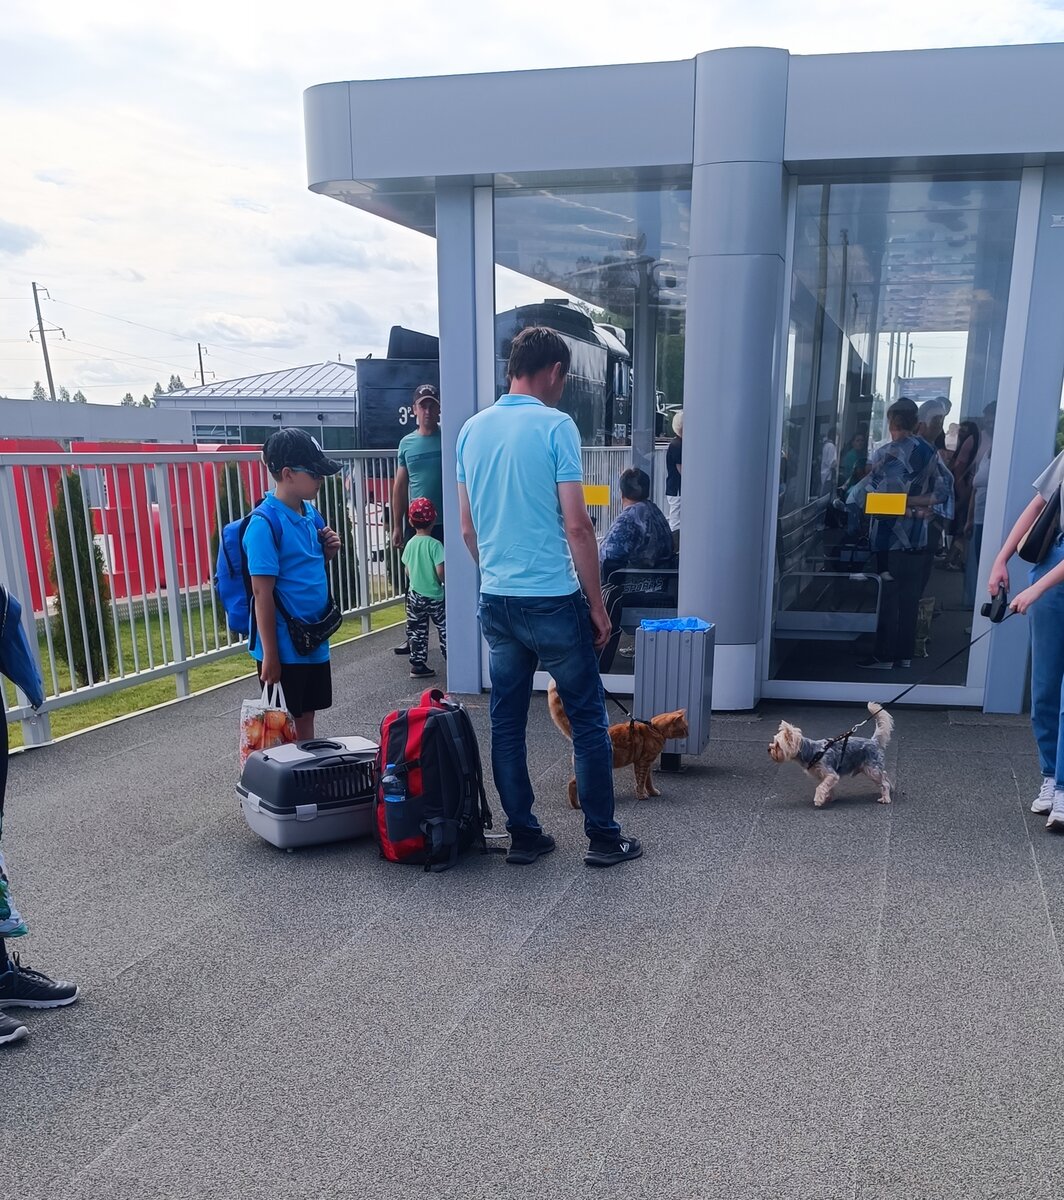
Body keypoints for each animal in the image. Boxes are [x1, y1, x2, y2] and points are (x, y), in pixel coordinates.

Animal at [549, 686, 690, 806]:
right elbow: (641, 780)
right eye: (685, 728)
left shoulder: (646, 763)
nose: (689, 733)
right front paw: (641, 795)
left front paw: (652, 792)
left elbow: (648, 781)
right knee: (574, 783)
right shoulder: (643, 762)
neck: (654, 729)